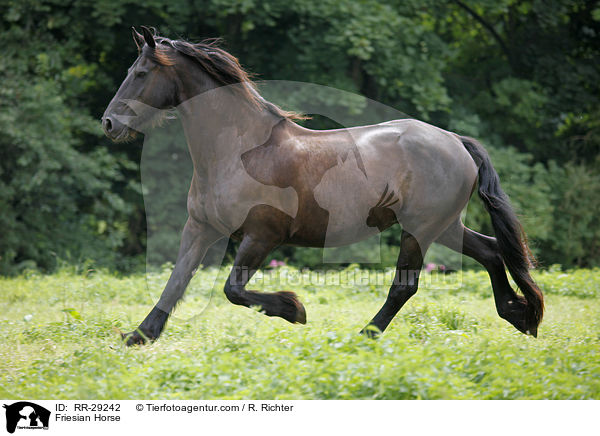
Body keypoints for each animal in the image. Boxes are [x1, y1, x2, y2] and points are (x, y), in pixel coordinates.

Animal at [102, 28, 544, 348]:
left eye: (140, 74)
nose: (109, 123)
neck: (238, 151)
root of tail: (455, 140)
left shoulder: (262, 235)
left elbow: (233, 289)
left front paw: (293, 308)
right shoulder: (201, 228)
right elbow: (176, 281)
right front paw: (139, 336)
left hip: (420, 229)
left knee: (404, 286)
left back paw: (363, 337)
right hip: (445, 226)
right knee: (491, 251)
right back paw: (519, 315)